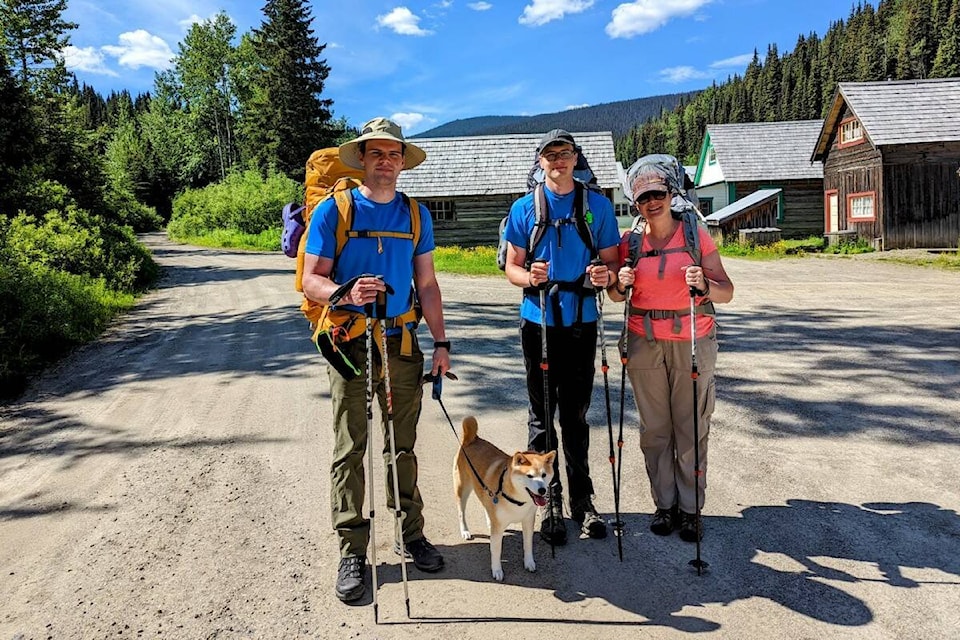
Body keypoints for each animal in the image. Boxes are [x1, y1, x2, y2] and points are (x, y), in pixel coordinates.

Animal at [456, 416, 560, 580]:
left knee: (486, 505)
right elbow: (496, 551)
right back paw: (465, 530)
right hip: (463, 489)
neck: (518, 501)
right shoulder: (498, 530)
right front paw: (497, 570)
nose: (542, 490)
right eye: (529, 476)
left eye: (544, 475)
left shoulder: (528, 521)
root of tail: (471, 438)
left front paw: (529, 562)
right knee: (461, 512)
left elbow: (528, 545)